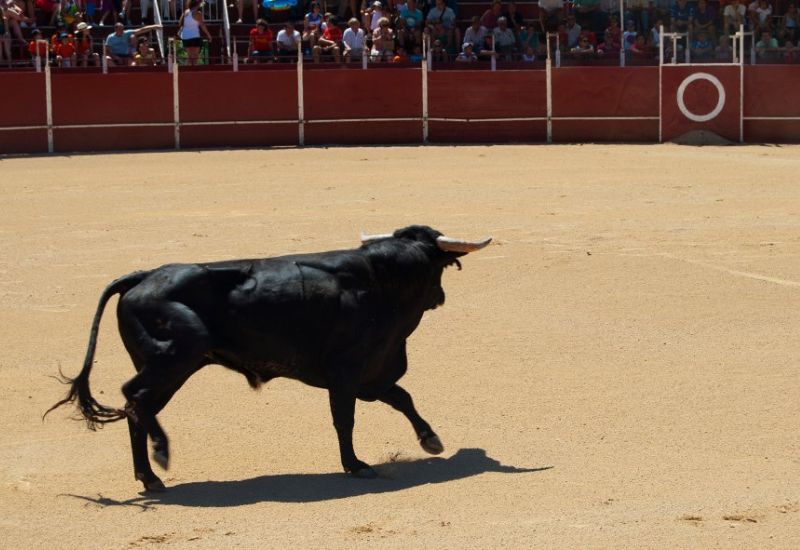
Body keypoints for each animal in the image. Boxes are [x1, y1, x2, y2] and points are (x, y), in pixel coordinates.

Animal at [48, 226, 494, 494]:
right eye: (439, 270)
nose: (440, 297)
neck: (379, 280)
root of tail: (142, 277)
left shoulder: (374, 371)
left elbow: (402, 397)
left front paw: (431, 440)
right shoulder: (347, 373)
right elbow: (345, 418)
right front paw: (355, 465)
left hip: (172, 368)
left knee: (138, 407)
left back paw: (150, 476)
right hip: (174, 358)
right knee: (134, 397)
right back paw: (159, 455)